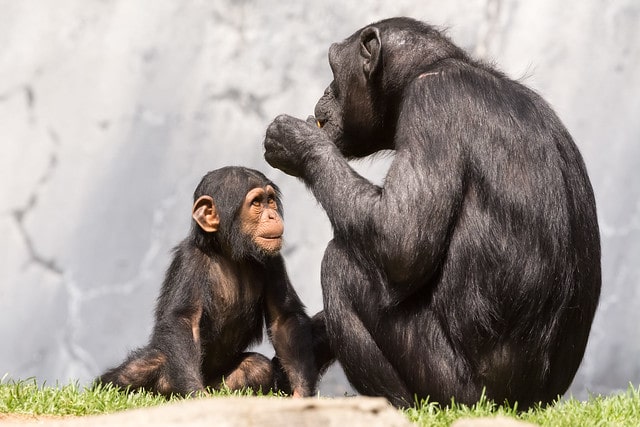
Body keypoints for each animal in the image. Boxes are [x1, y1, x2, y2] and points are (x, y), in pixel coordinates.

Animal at [98, 166, 318, 398]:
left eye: (271, 200)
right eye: (257, 203)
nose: (272, 214)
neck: (229, 254)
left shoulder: (273, 261)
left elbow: (284, 318)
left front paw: (301, 393)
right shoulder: (190, 259)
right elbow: (184, 319)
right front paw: (195, 394)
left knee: (258, 368)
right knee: (140, 367)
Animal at [262, 17, 604, 412]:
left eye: (333, 68)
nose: (326, 91)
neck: (427, 71)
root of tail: (532, 405)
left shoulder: (430, 103)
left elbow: (401, 241)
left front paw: (298, 142)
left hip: (453, 386)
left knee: (341, 267)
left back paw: (401, 407)